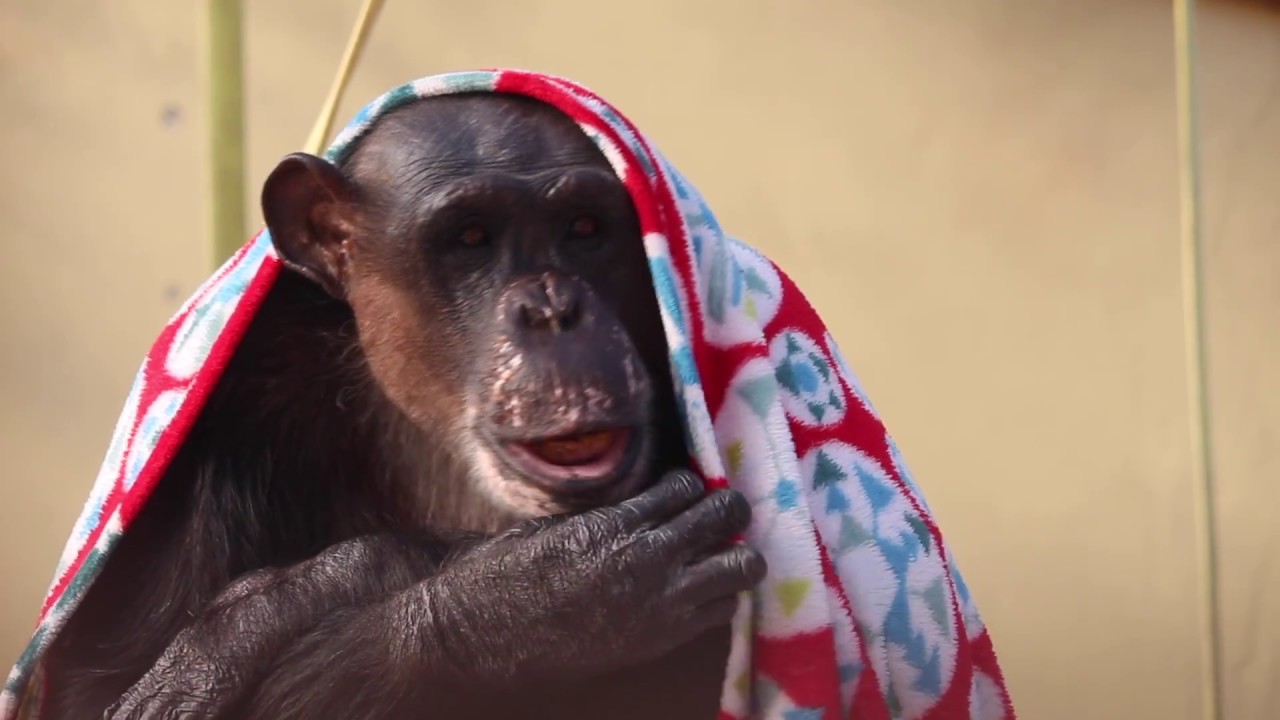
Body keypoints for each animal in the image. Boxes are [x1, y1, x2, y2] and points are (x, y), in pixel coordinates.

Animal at [38, 92, 767, 719]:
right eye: (470, 237)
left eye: (585, 228)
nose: (554, 309)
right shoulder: (223, 410)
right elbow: (95, 694)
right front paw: (536, 594)